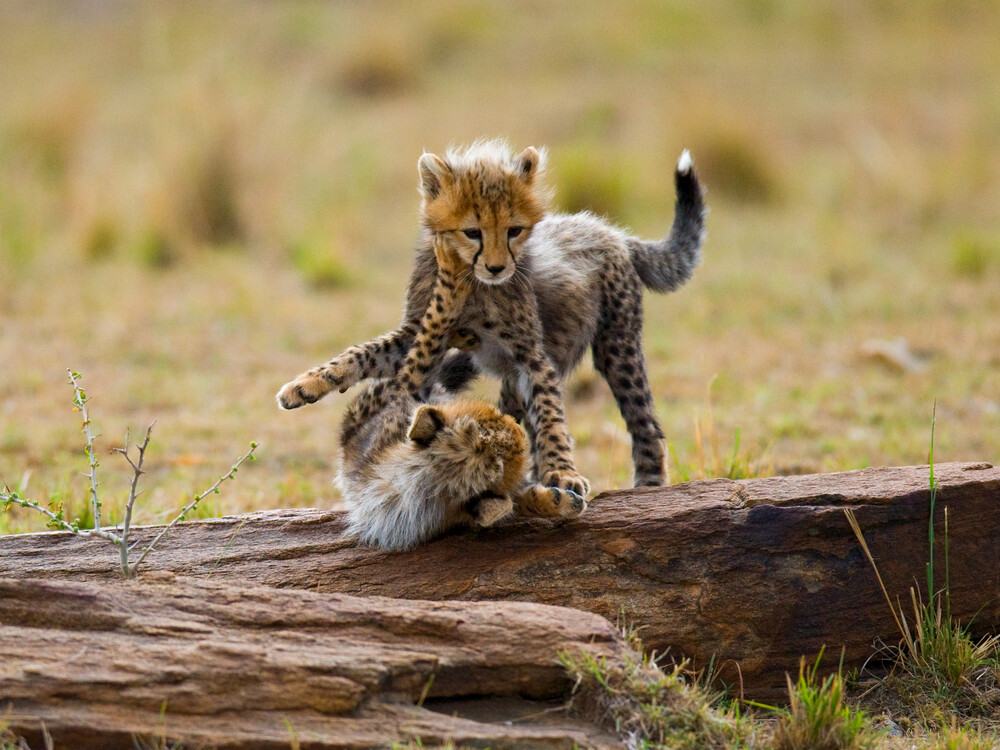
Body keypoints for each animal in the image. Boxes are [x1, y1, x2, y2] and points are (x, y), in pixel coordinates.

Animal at [277, 139, 705, 489]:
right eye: (472, 232)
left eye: (514, 229)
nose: (498, 268)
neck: (470, 280)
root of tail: (608, 229)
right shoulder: (418, 331)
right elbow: (362, 352)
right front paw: (307, 384)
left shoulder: (532, 355)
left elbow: (551, 414)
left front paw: (562, 472)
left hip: (618, 349)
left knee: (643, 420)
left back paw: (648, 485)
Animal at [338, 235, 584, 551]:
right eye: (507, 438)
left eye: (493, 423)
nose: (516, 425)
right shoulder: (402, 390)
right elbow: (424, 345)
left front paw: (555, 499)